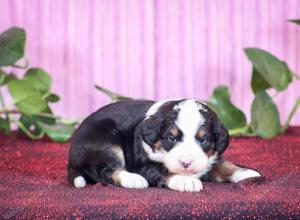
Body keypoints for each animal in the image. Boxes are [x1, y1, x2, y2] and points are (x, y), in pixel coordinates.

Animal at [68, 99, 260, 192]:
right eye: (171, 138)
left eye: (203, 139)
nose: (186, 162)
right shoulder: (142, 164)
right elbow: (163, 171)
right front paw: (185, 181)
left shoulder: (209, 160)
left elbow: (223, 165)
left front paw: (247, 173)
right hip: (107, 140)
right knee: (106, 172)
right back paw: (134, 180)